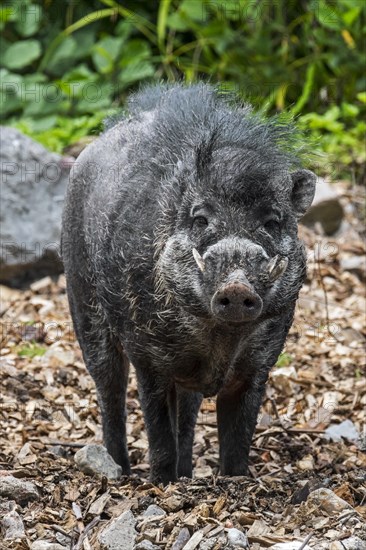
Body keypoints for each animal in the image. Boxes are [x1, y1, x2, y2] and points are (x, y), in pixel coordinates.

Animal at [61, 84, 316, 486]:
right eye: (200, 219)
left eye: (272, 222)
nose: (237, 287)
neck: (219, 341)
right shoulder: (148, 359)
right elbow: (158, 433)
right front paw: (161, 483)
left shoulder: (259, 365)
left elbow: (236, 442)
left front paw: (233, 480)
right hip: (82, 300)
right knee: (109, 388)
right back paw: (120, 471)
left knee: (188, 410)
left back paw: (186, 474)